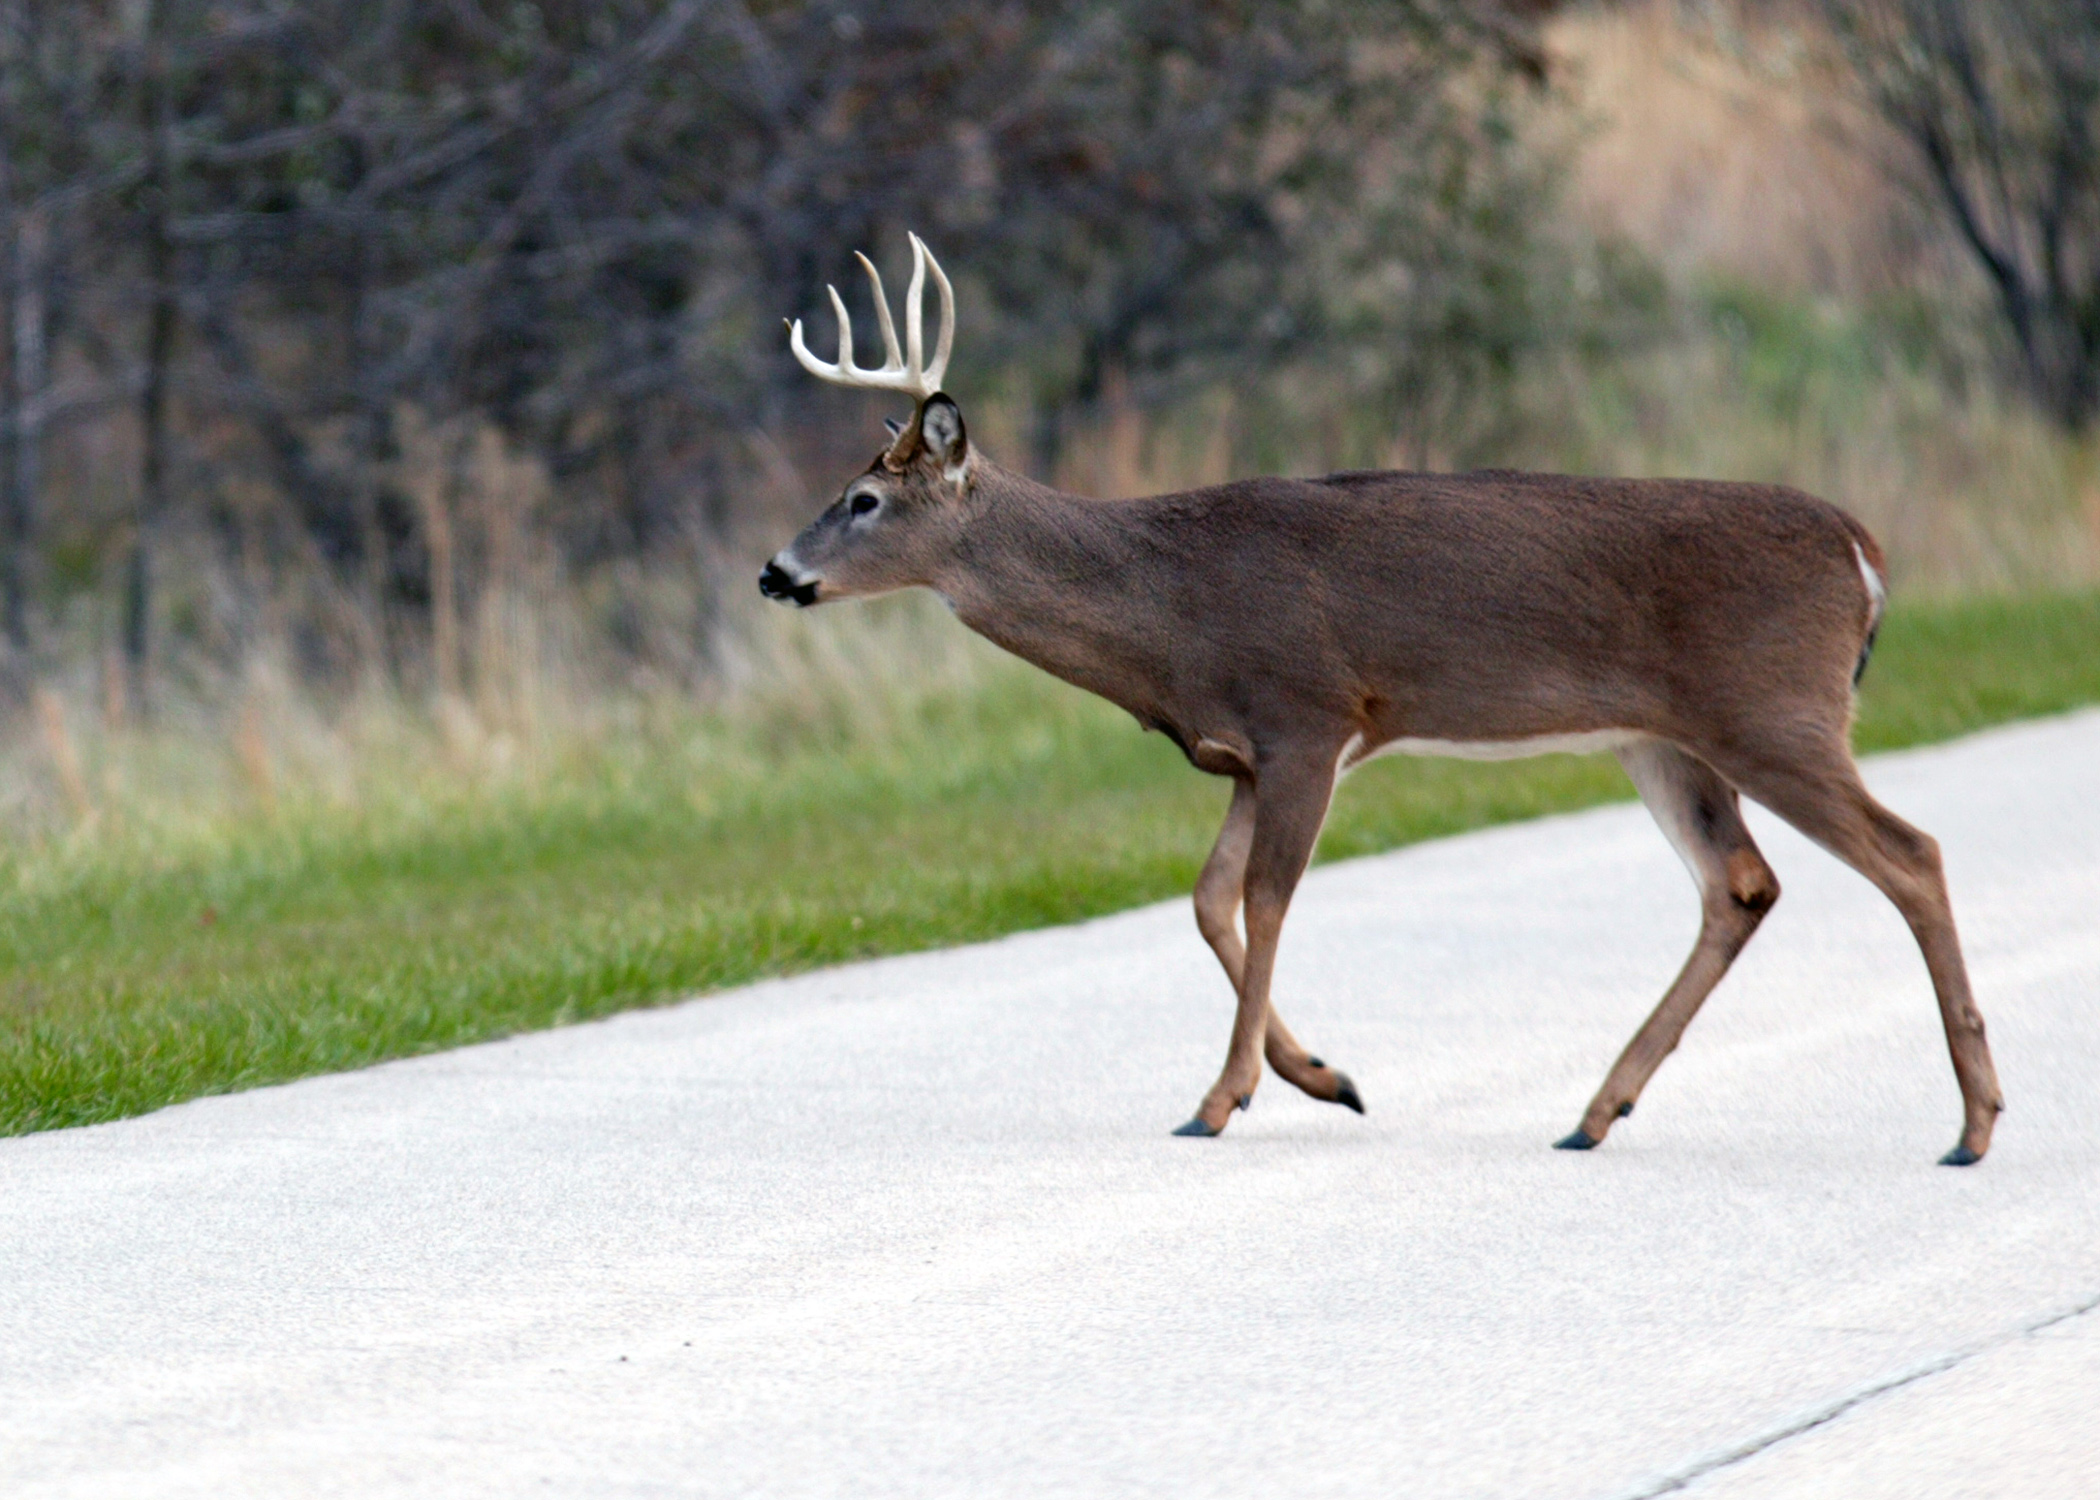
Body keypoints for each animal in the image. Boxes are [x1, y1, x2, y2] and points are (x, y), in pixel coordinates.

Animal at [764, 236, 2007, 1168]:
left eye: (864, 499)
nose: (777, 571)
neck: (1166, 609)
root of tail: (1863, 551)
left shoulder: (1310, 714)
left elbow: (1265, 900)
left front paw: (1222, 1099)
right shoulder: (1247, 749)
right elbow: (1209, 900)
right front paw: (1324, 1078)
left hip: (1775, 710)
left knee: (1912, 853)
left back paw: (1974, 1124)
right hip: (1667, 739)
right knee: (1740, 885)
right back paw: (1595, 1112)